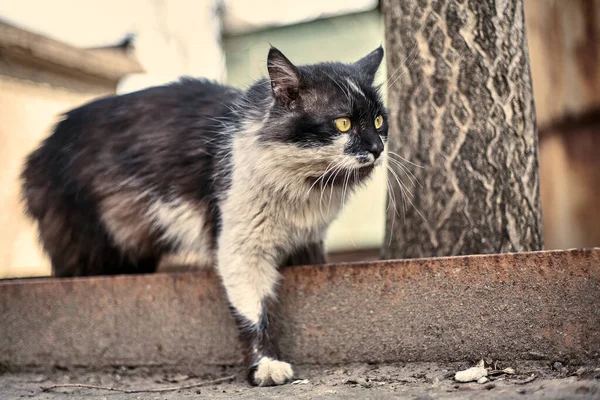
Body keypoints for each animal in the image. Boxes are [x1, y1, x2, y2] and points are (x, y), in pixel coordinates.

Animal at [21, 45, 386, 386]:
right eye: (343, 123)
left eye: (380, 121)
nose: (378, 148)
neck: (305, 192)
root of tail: (41, 148)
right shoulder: (241, 248)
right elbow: (254, 310)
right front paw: (266, 365)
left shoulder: (308, 243)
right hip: (91, 251)